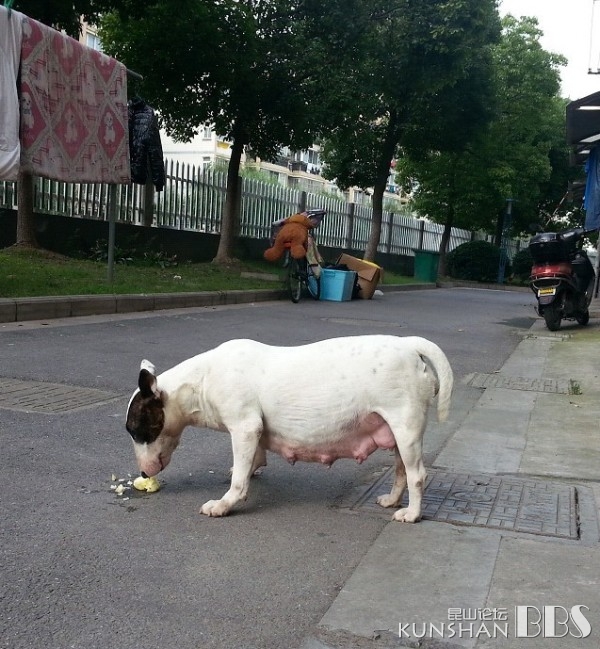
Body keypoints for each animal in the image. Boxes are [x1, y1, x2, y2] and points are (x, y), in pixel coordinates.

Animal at [127, 336, 454, 520]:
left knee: (416, 474)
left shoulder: (244, 427)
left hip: (406, 427)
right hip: (396, 432)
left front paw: (225, 503)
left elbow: (239, 478)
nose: (142, 472)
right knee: (401, 470)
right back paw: (392, 500)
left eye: (136, 430)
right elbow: (254, 457)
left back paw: (412, 513)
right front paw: (250, 470)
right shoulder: (254, 431)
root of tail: (410, 345)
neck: (201, 381)